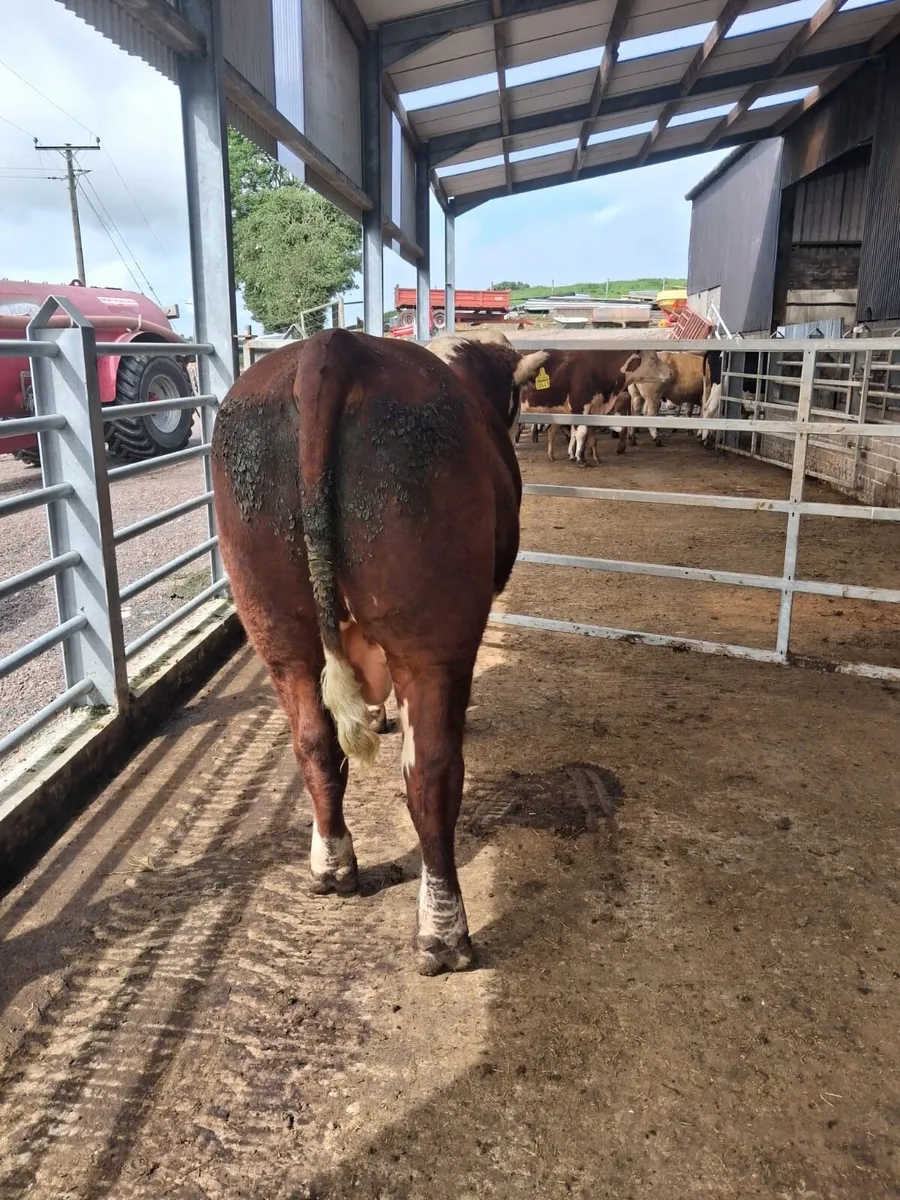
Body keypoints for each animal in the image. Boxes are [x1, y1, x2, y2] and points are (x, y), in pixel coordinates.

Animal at [211, 329, 547, 976]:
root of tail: (332, 346)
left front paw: (372, 715)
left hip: (273, 619)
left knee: (314, 741)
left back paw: (332, 866)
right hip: (431, 635)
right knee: (431, 773)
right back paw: (443, 932)